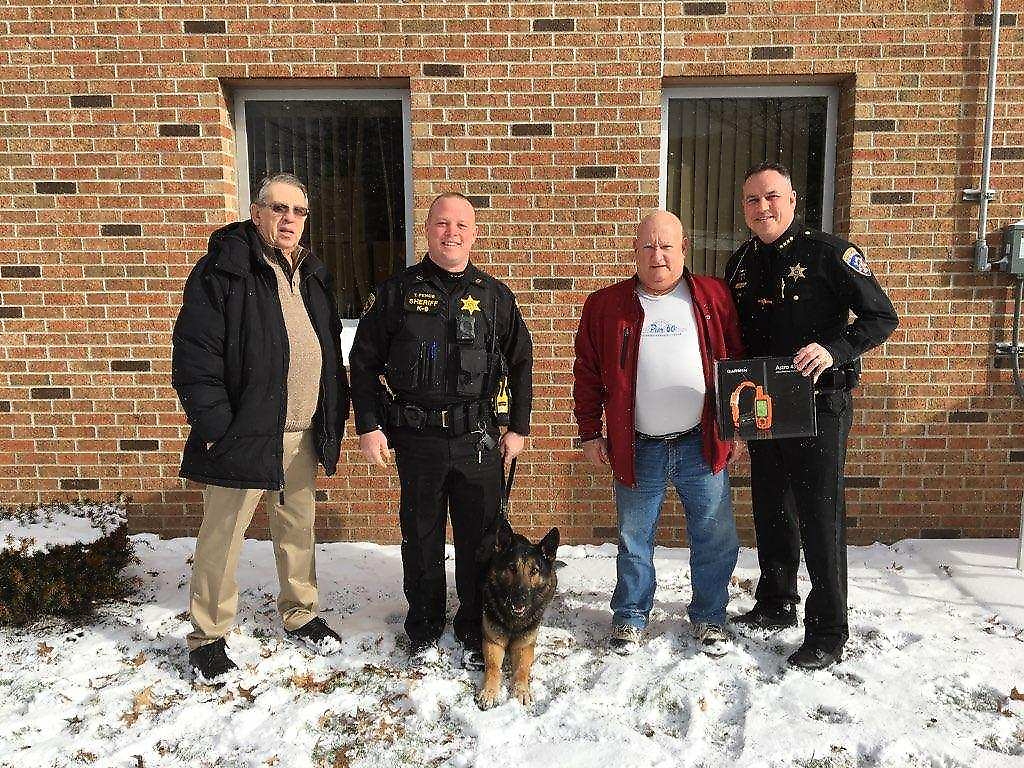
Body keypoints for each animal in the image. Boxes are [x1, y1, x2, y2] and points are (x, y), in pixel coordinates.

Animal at [477, 520, 561, 712]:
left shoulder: (524, 646)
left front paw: (521, 691)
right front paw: (489, 692)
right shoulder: (492, 643)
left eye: (534, 571)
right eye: (512, 568)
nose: (520, 598)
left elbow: (522, 670)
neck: (513, 620)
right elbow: (493, 668)